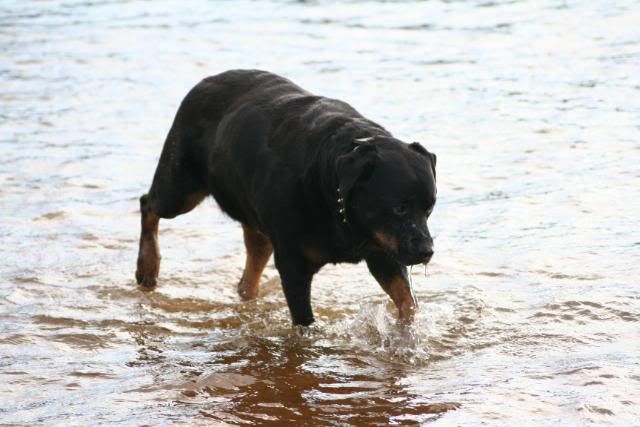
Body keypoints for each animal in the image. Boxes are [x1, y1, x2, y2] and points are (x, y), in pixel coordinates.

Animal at [134, 70, 436, 326]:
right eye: (399, 208)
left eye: (429, 210)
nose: (427, 250)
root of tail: (204, 82)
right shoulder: (293, 262)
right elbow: (304, 319)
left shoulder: (383, 249)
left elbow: (407, 300)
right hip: (181, 185)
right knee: (149, 204)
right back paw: (148, 266)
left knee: (254, 257)